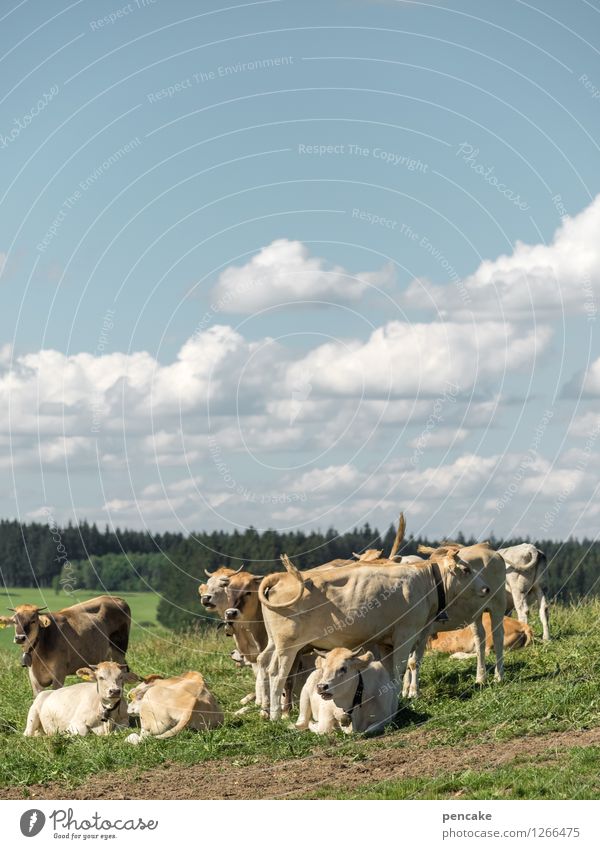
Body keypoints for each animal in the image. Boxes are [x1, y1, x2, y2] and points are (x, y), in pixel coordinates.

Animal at [0, 592, 131, 692]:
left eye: (33, 621)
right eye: (15, 621)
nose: (20, 638)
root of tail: (117, 598)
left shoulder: (59, 674)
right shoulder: (33, 677)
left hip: (119, 650)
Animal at [255, 548, 490, 720]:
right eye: (466, 569)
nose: (486, 588)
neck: (425, 582)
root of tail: (281, 578)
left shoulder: (386, 642)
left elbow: (389, 673)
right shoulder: (405, 634)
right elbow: (400, 669)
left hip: (276, 644)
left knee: (266, 665)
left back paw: (267, 710)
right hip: (288, 647)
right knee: (278, 674)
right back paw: (276, 715)